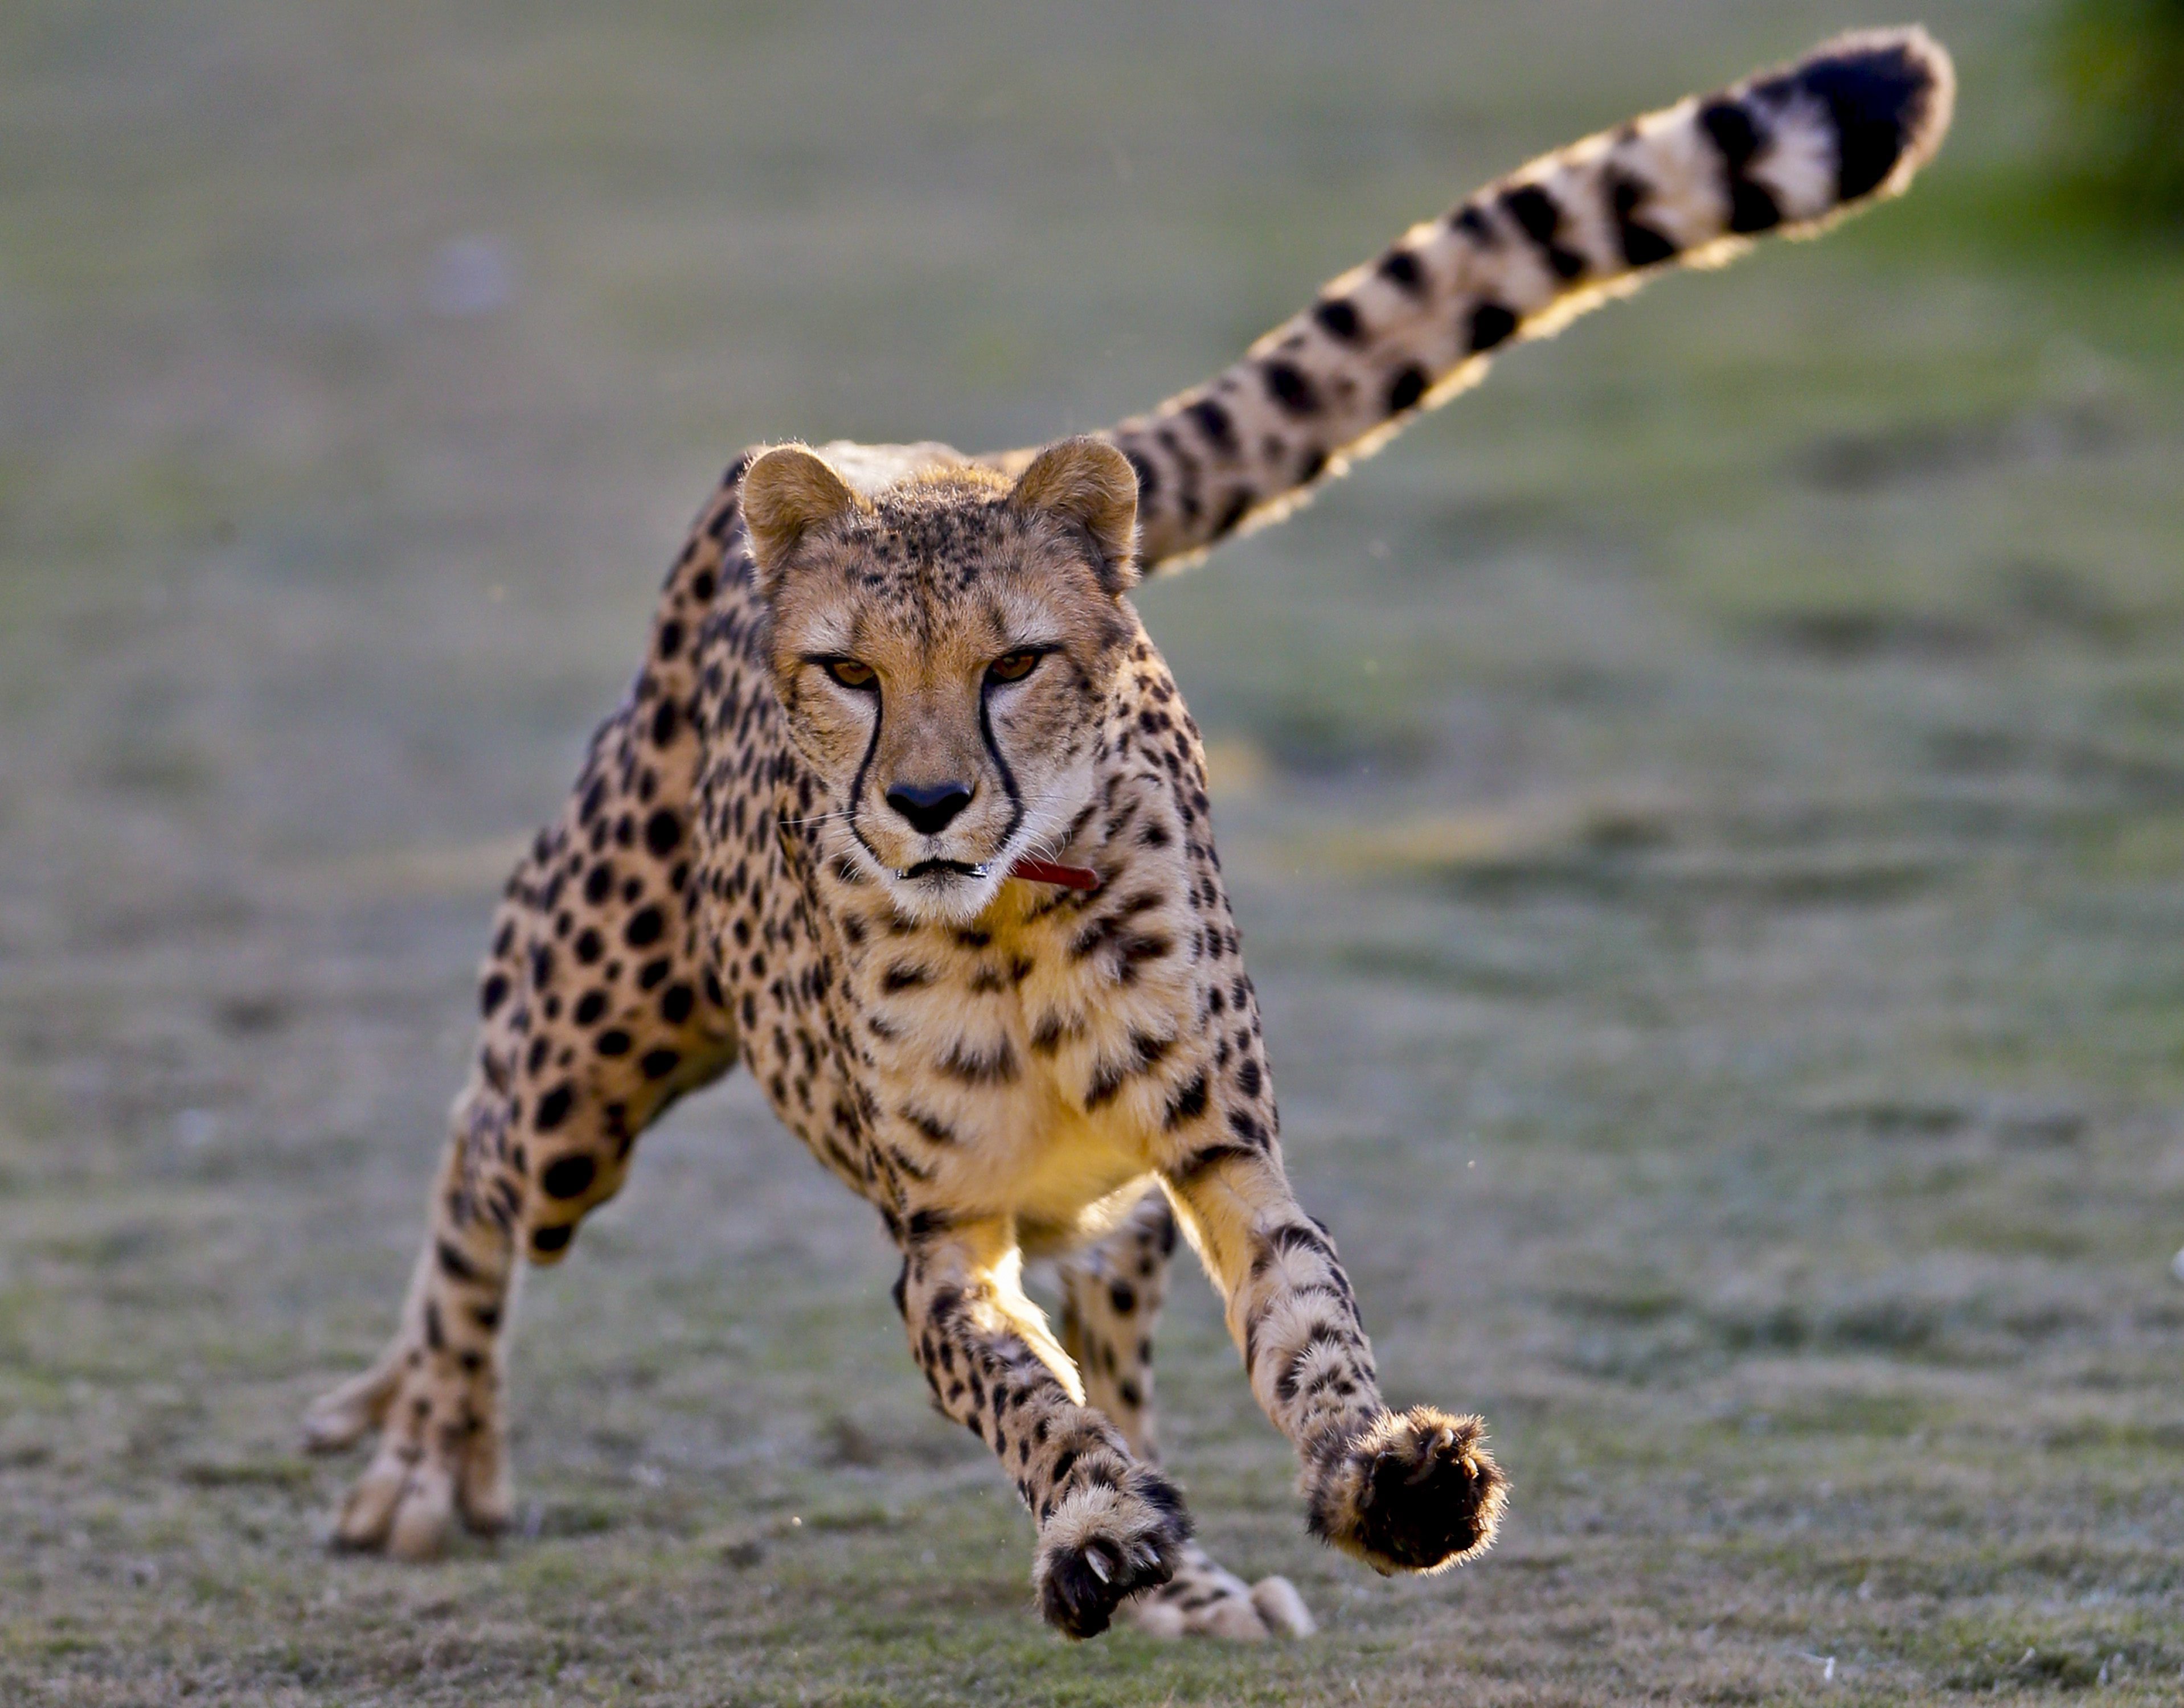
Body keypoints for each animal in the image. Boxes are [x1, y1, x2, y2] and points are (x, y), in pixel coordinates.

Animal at [304, 28, 1953, 1641]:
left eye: (1013, 663)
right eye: (849, 673)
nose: (925, 805)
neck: (1005, 921)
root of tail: (911, 449)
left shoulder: (1213, 1150)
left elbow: (1302, 1325)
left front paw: (1371, 1482)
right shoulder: (941, 1234)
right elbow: (1021, 1394)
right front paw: (1096, 1527)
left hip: (1079, 1203)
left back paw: (1197, 1584)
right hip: (590, 1059)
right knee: (483, 1154)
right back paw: (422, 1455)